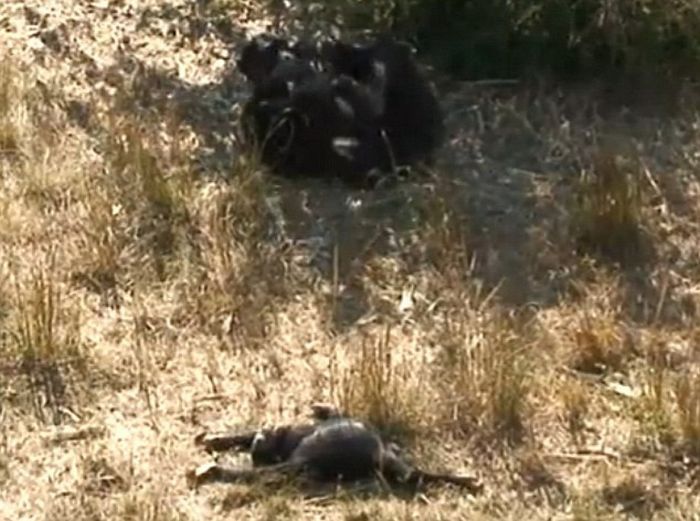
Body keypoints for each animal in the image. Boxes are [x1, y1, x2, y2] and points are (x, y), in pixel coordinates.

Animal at [186, 404, 482, 494]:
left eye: (267, 435)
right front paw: (215, 444)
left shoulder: (293, 448)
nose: (264, 432)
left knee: (411, 474)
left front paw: (213, 464)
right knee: (409, 472)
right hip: (388, 458)